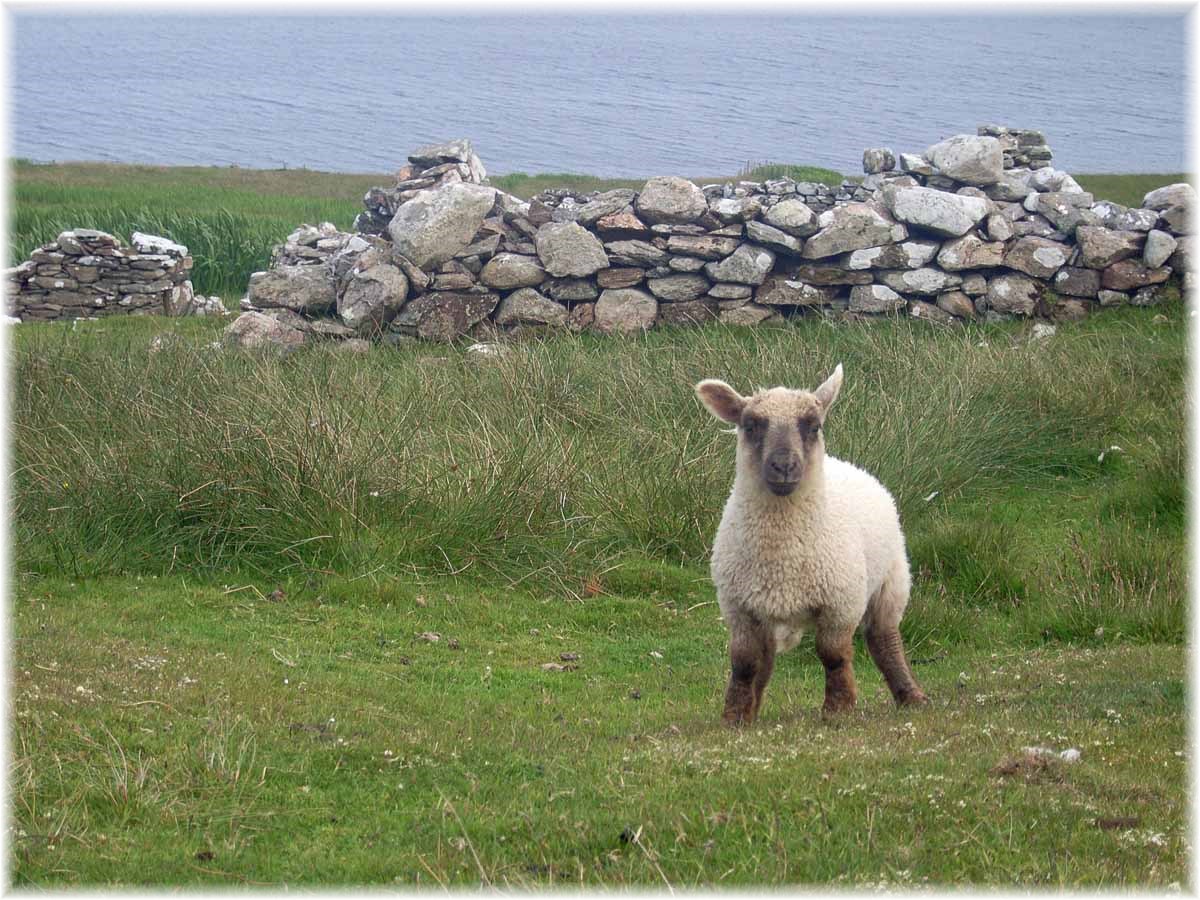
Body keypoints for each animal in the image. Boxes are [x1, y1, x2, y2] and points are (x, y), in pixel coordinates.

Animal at [696, 364, 926, 724]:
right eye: (750, 425)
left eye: (813, 426)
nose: (784, 466)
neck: (783, 553)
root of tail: (844, 463)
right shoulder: (738, 607)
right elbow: (745, 662)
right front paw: (735, 716)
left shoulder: (841, 603)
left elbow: (833, 655)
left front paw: (838, 709)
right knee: (767, 657)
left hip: (892, 582)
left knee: (885, 641)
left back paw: (911, 696)